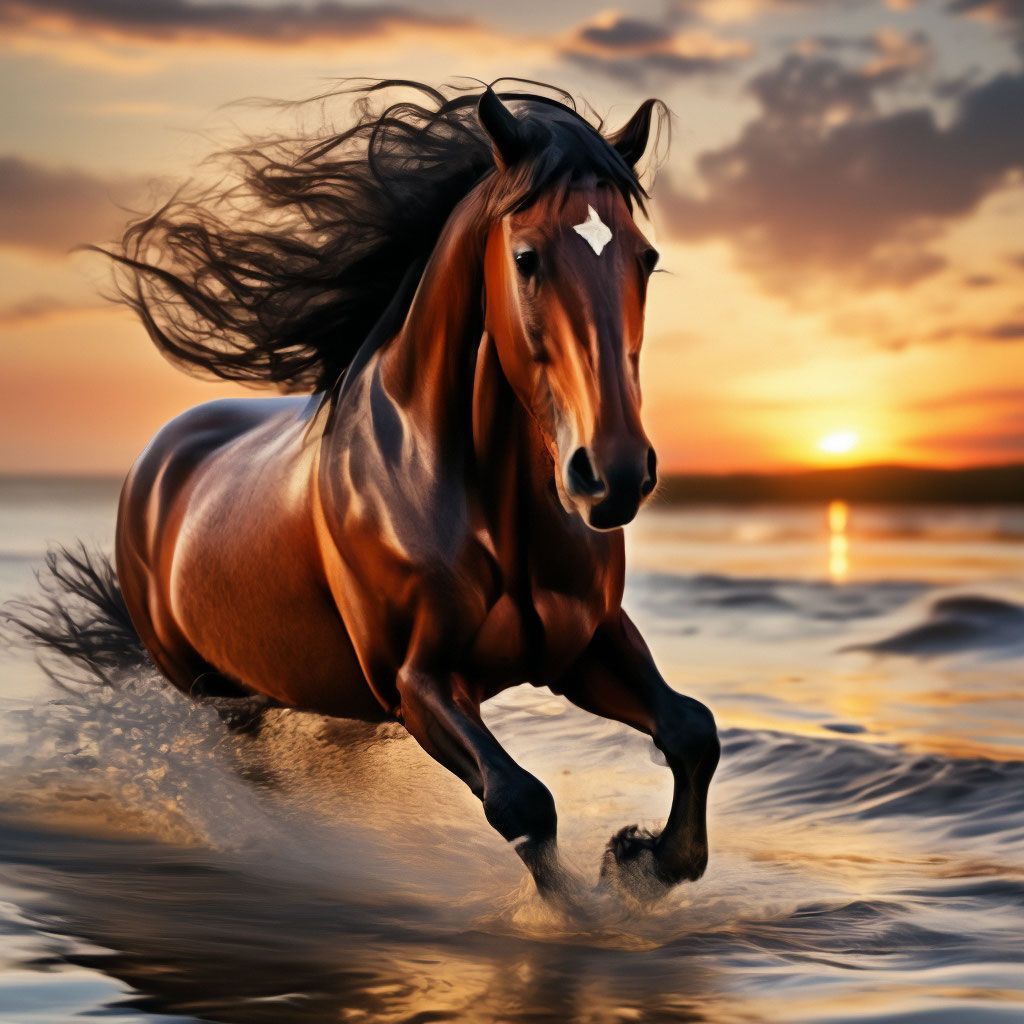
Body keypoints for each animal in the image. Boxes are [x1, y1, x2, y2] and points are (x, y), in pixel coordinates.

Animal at [107, 81, 720, 897]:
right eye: (526, 257)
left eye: (646, 259)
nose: (613, 474)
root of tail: (159, 458)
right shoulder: (414, 682)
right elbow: (520, 800)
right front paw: (592, 898)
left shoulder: (585, 643)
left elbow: (692, 731)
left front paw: (642, 860)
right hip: (215, 695)